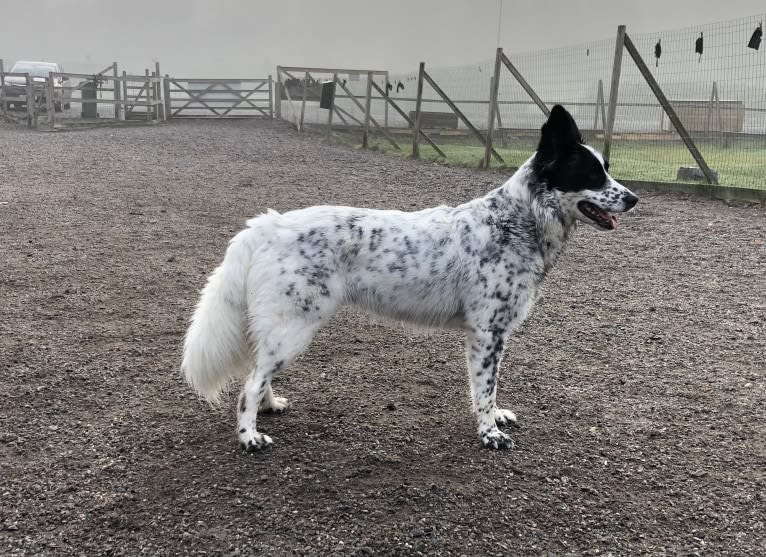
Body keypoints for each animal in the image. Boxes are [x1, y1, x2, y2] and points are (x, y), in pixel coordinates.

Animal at [183, 105, 640, 452]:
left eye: (607, 170)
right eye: (591, 174)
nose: (635, 198)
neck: (515, 221)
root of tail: (266, 225)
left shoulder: (492, 336)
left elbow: (488, 390)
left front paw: (494, 418)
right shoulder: (487, 333)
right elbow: (485, 388)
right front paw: (489, 433)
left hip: (283, 330)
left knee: (258, 374)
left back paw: (270, 407)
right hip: (293, 328)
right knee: (249, 384)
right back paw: (249, 437)